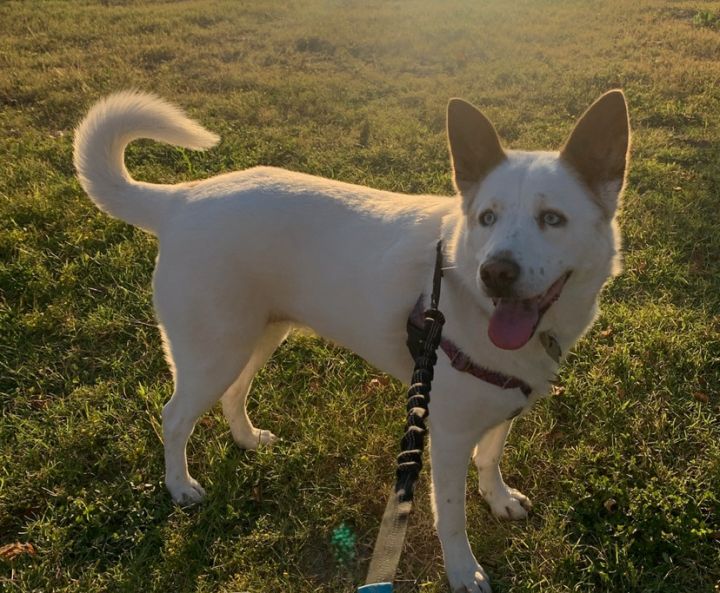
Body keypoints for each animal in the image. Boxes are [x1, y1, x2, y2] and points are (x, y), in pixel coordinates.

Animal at [74, 89, 632, 592]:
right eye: (487, 218)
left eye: (552, 219)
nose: (494, 273)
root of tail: (182, 199)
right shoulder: (447, 434)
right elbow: (451, 516)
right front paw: (462, 571)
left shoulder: (502, 402)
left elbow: (490, 458)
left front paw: (499, 499)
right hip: (213, 351)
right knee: (174, 417)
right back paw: (179, 486)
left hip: (256, 337)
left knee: (235, 393)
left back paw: (248, 439)